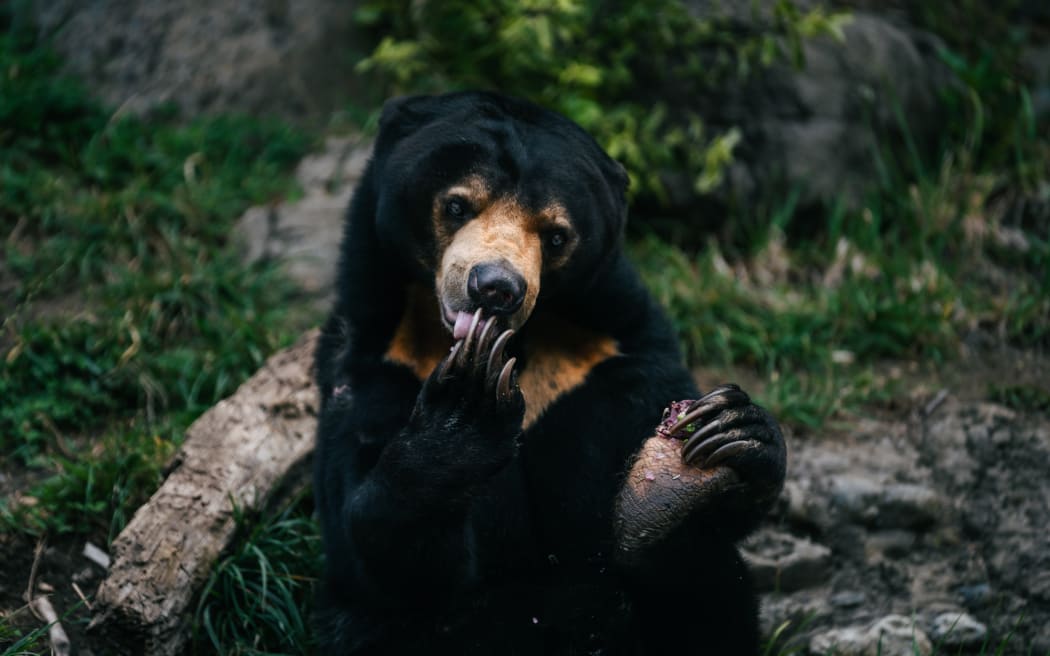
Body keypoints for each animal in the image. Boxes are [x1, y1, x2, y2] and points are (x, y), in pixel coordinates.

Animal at [312, 91, 786, 655]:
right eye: (456, 205)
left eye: (556, 236)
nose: (495, 288)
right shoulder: (371, 361)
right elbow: (377, 552)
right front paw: (467, 402)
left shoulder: (616, 352)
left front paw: (731, 433)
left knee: (706, 576)